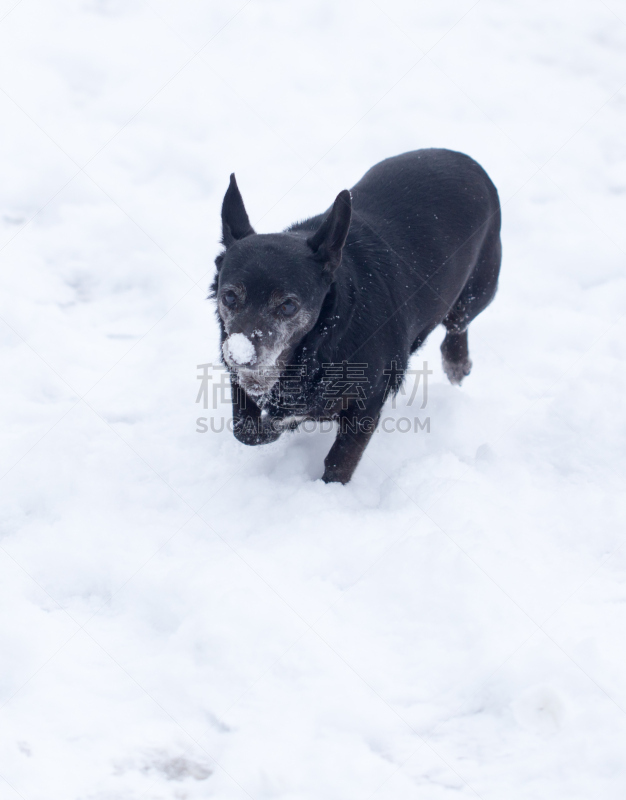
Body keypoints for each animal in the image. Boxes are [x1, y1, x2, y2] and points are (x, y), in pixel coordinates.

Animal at [212, 150, 500, 484]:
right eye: (229, 297)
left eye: (288, 306)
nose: (240, 355)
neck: (316, 349)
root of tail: (462, 158)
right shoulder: (241, 380)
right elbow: (246, 429)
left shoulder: (369, 401)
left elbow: (341, 459)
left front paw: (328, 490)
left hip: (481, 285)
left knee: (459, 322)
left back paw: (456, 361)